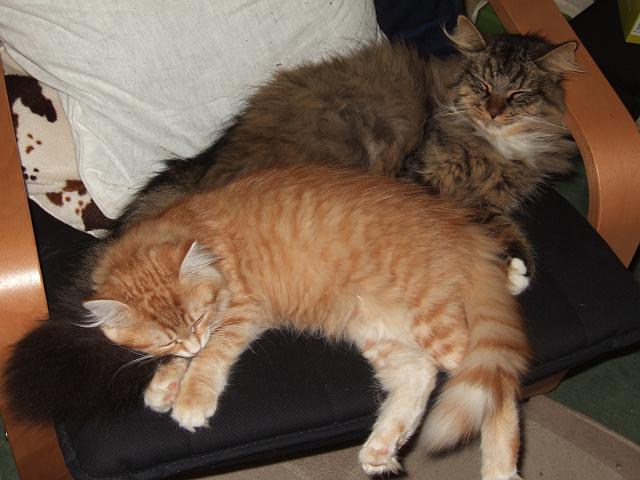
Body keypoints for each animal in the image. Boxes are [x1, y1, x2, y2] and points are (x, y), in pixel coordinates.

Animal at [83, 166, 530, 480]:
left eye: (198, 317)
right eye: (165, 339)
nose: (190, 342)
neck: (199, 235)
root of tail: (460, 228)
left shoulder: (242, 311)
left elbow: (210, 357)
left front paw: (191, 397)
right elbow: (181, 361)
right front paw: (165, 382)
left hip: (436, 324)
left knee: (499, 388)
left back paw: (500, 468)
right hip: (379, 332)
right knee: (420, 376)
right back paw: (381, 448)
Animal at [116, 16, 579, 295]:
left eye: (517, 94)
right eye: (482, 86)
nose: (493, 111)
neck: (492, 145)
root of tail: (215, 153)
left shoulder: (486, 198)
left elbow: (503, 224)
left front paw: (517, 270)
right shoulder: (422, 176)